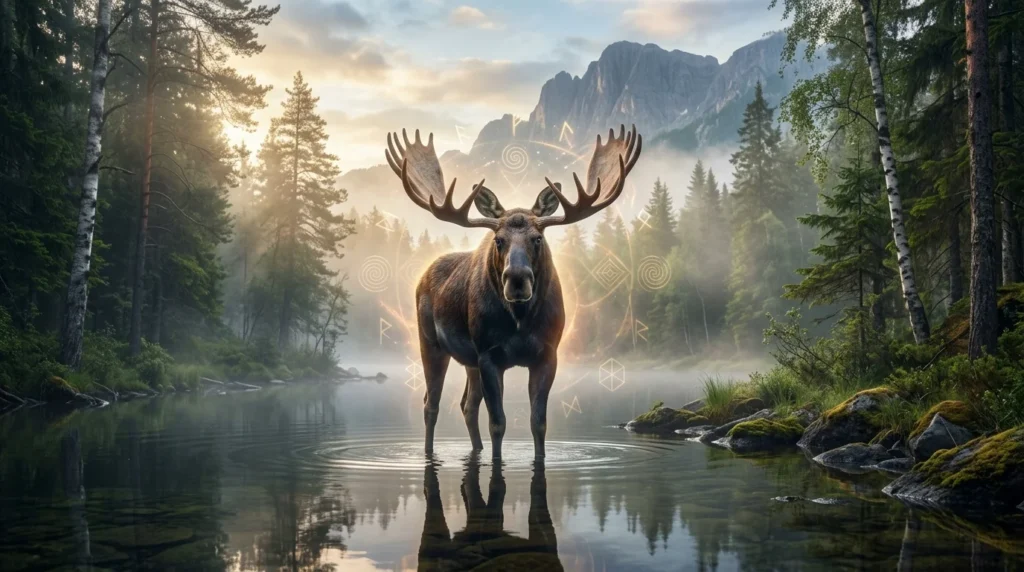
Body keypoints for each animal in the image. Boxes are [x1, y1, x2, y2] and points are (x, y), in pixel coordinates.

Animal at [384, 124, 642, 460]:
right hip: (430, 341)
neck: (520, 320)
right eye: (498, 240)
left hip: (469, 360)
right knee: (432, 404)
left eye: (537, 238)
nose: (517, 279)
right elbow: (498, 423)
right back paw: (429, 452)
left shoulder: (547, 354)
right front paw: (497, 460)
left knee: (467, 405)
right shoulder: (489, 354)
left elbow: (538, 423)